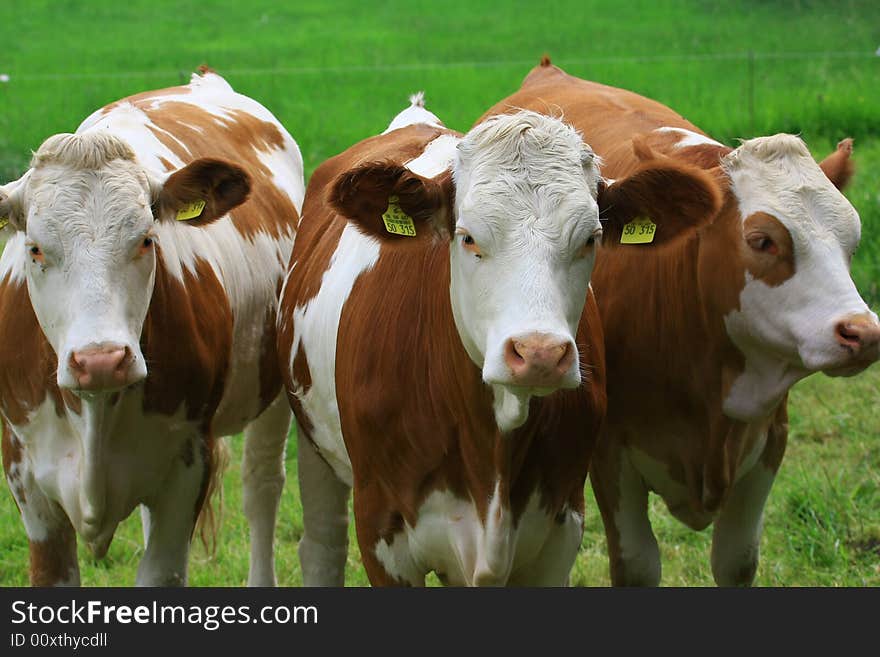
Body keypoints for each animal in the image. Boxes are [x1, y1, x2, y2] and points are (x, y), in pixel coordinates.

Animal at [0, 69, 302, 588]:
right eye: (34, 248)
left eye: (146, 240)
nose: (101, 360)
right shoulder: (26, 478)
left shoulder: (187, 465)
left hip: (274, 389)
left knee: (262, 485)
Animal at [278, 92, 720, 584]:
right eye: (468, 237)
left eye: (591, 238)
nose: (540, 353)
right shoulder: (380, 530)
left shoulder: (561, 528)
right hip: (315, 451)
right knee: (322, 547)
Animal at [482, 59, 880, 588]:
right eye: (763, 240)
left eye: (852, 240)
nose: (862, 332)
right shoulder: (610, 453)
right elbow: (637, 564)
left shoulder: (770, 441)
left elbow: (736, 560)